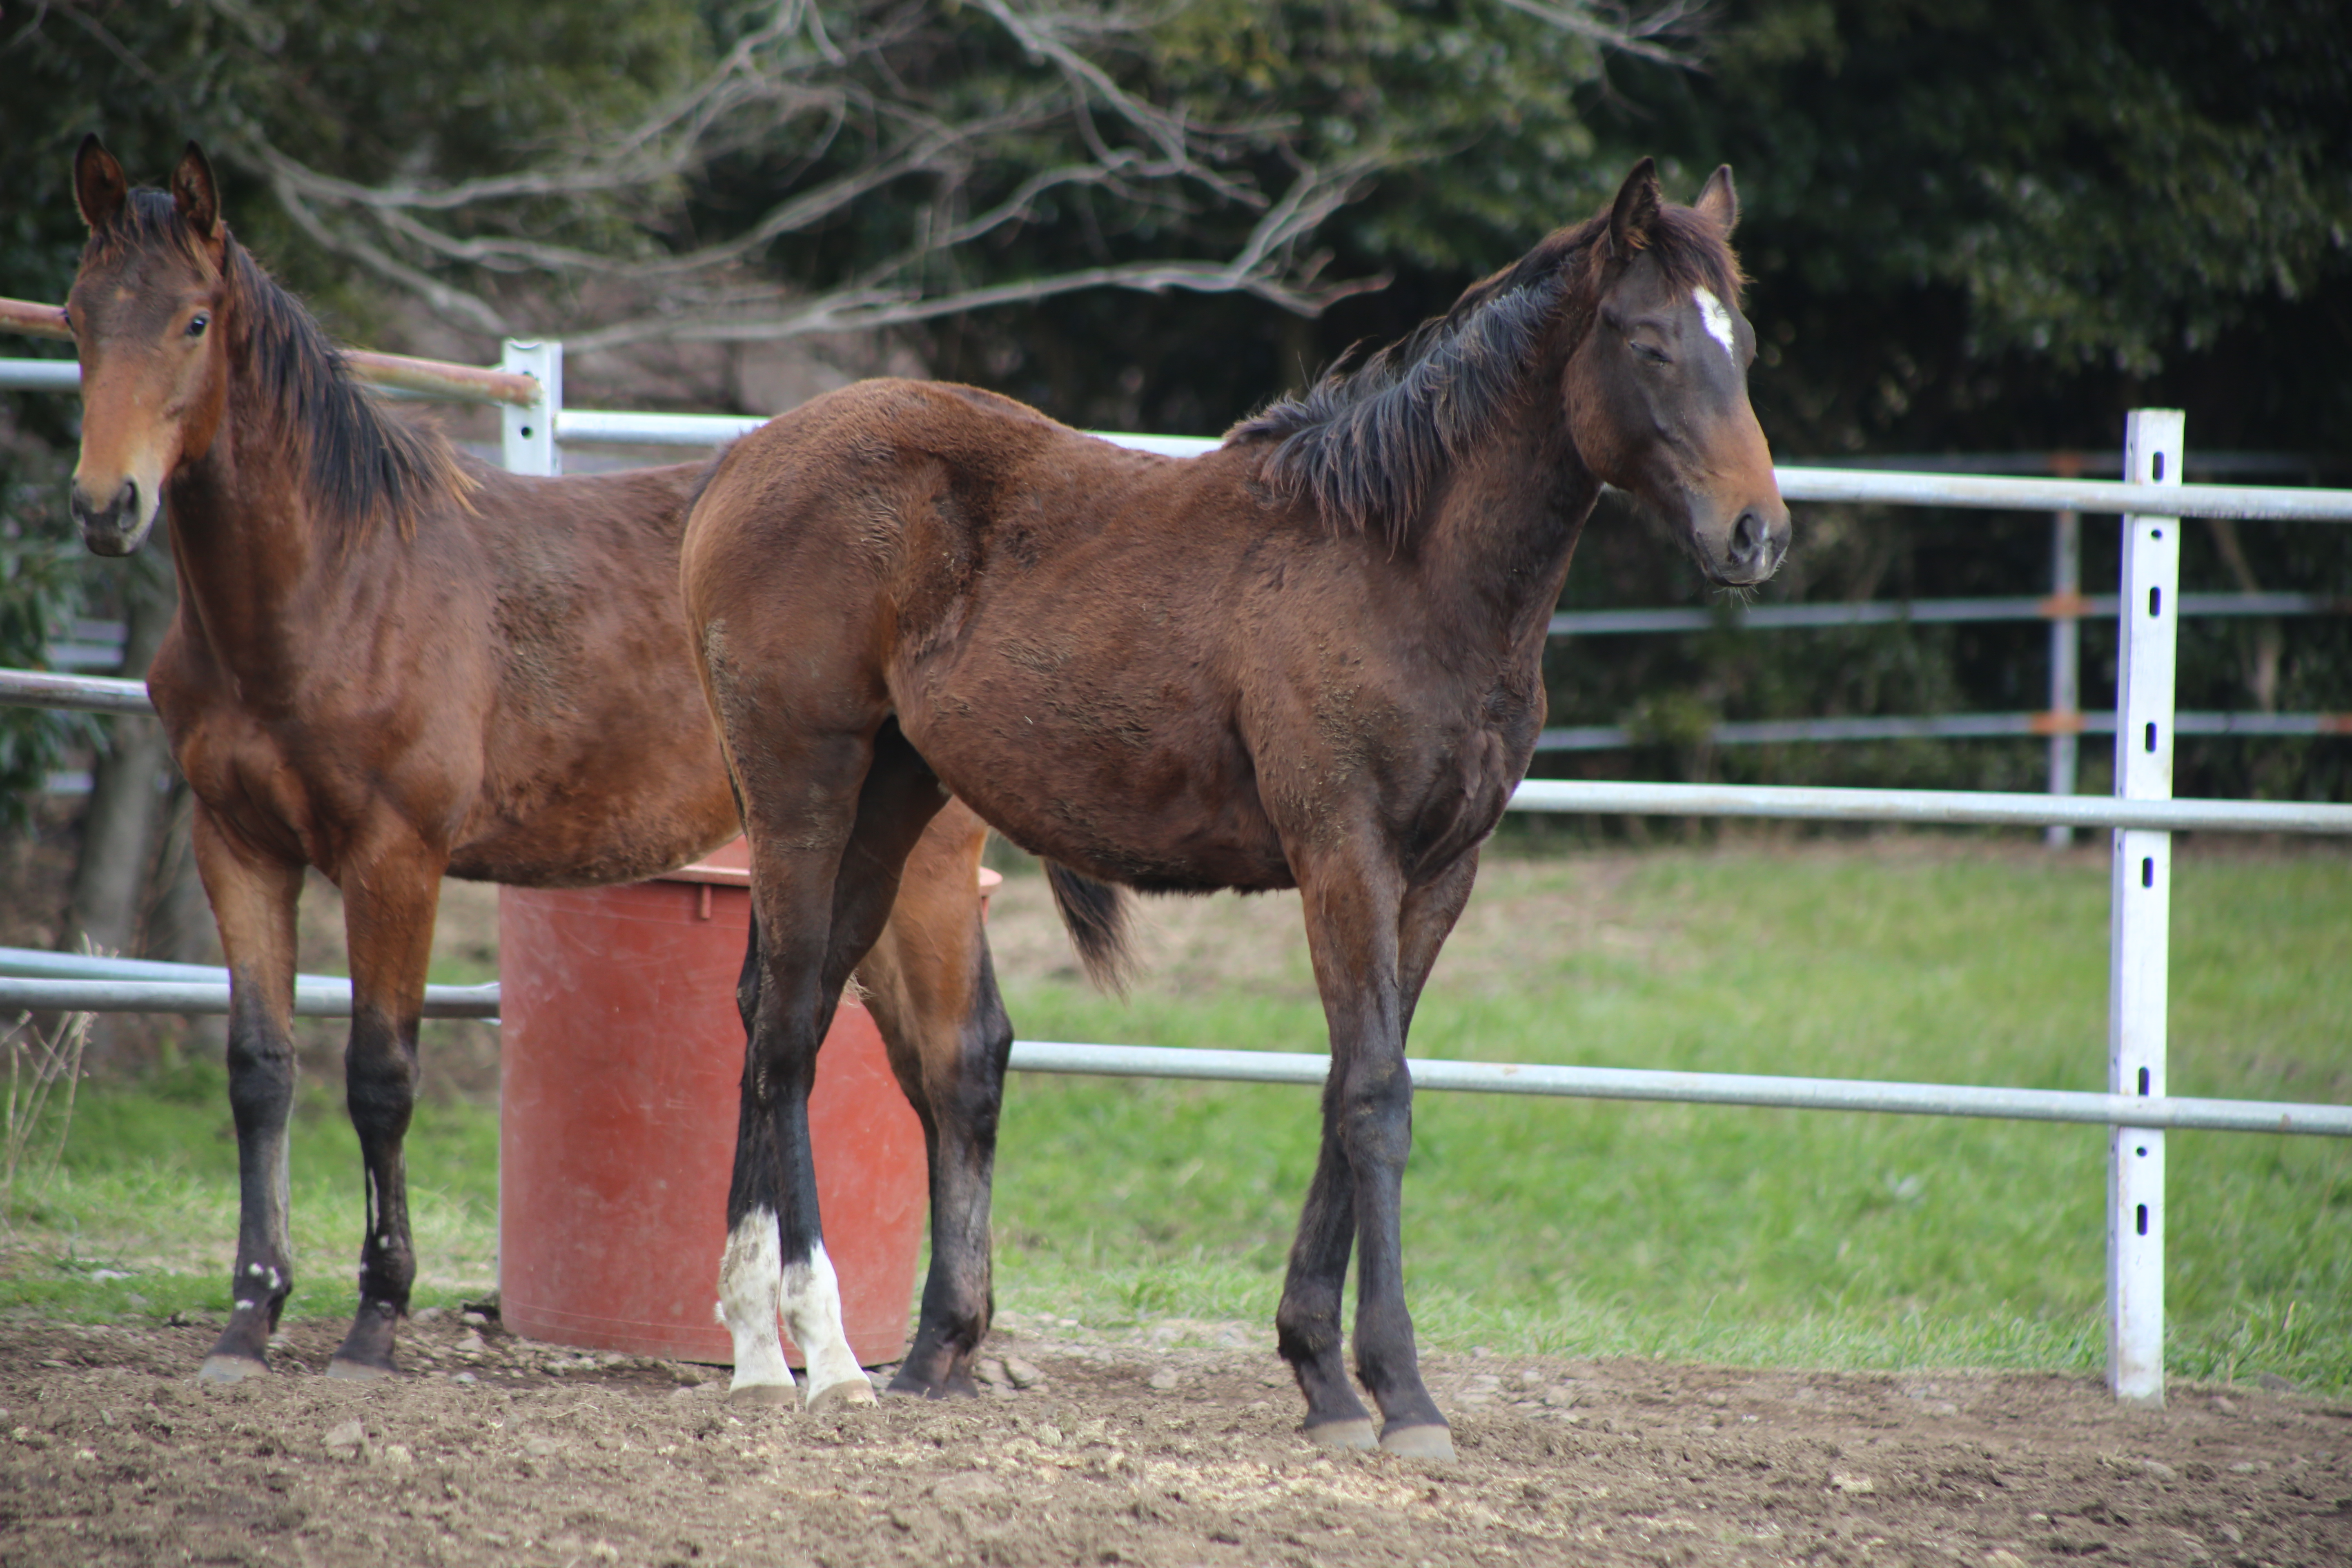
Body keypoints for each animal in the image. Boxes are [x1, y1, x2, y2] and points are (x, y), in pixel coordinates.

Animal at [62, 138, 1020, 1410]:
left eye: (194, 320)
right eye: (74, 315)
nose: (104, 504)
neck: (338, 585)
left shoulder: (396, 859)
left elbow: (381, 1075)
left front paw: (374, 1323)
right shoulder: (240, 847)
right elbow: (261, 1073)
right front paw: (248, 1321)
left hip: (920, 870)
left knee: (961, 1067)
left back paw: (923, 1349)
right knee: (906, 1063)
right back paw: (920, 1351)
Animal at [677, 160, 1778, 1457]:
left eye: (1739, 343)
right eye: (1648, 343)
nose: (1756, 533)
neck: (1398, 570)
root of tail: (744, 460)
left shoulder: (1437, 874)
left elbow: (1351, 1088)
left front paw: (1321, 1374)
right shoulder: (1343, 852)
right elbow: (1376, 1099)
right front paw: (1398, 1392)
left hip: (890, 805)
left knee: (775, 1011)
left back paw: (791, 1353)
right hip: (803, 786)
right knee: (790, 1031)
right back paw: (818, 1355)